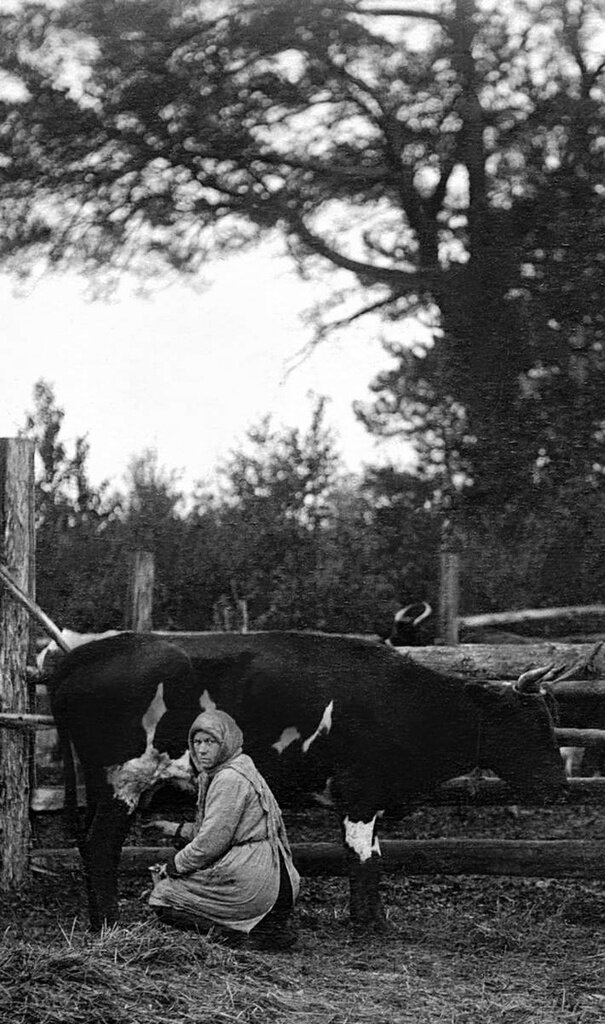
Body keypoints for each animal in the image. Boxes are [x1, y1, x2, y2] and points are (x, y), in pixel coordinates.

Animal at [43, 626, 569, 933]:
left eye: (551, 720)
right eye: (525, 724)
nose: (560, 787)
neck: (406, 705)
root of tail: (86, 655)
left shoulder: (368, 799)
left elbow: (373, 856)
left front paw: (375, 923)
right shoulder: (361, 793)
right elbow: (363, 861)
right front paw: (368, 929)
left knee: (90, 847)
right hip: (126, 780)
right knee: (101, 847)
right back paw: (109, 923)